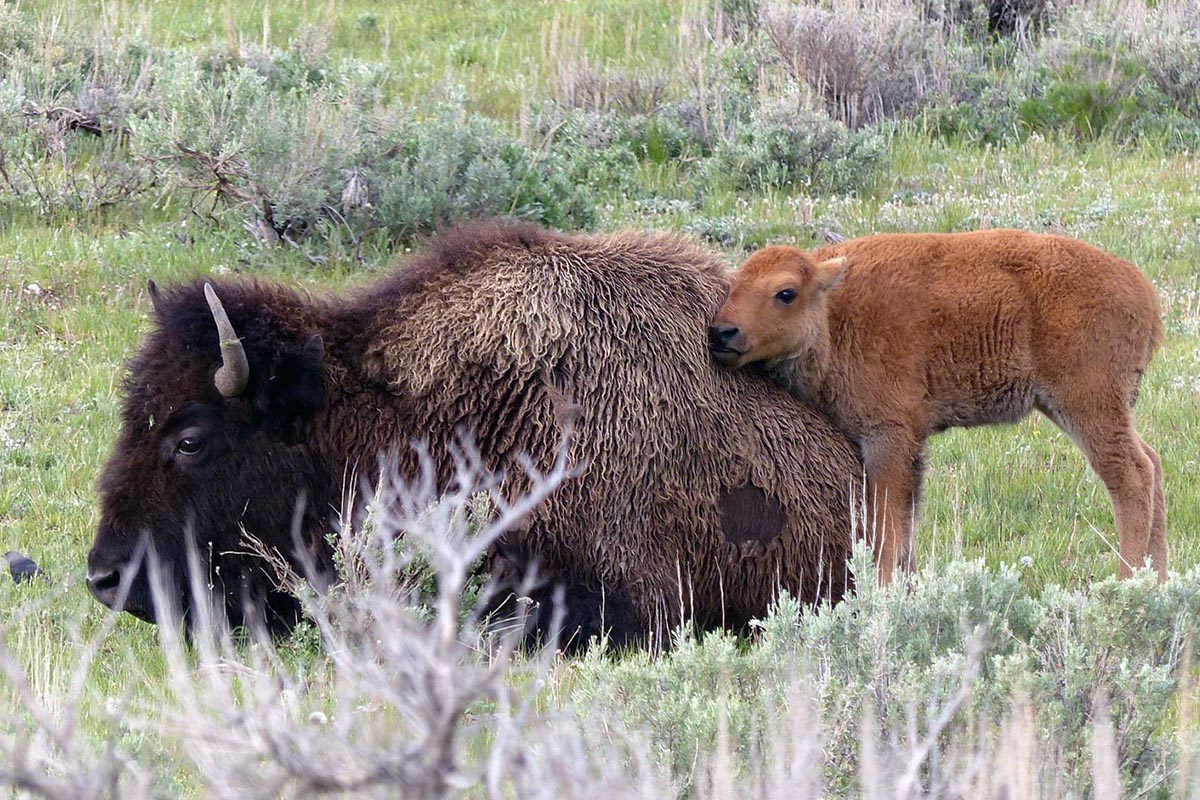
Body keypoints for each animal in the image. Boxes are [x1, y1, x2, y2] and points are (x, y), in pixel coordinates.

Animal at [708, 229, 1165, 585]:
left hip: (1087, 404)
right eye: (733, 286)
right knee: (1153, 462)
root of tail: (1143, 292)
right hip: (1083, 406)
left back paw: (1126, 583)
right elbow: (906, 522)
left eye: (785, 293)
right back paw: (1158, 581)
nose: (721, 333)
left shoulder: (888, 437)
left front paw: (882, 590)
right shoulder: (908, 447)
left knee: (1132, 476)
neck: (835, 314)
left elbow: (886, 525)